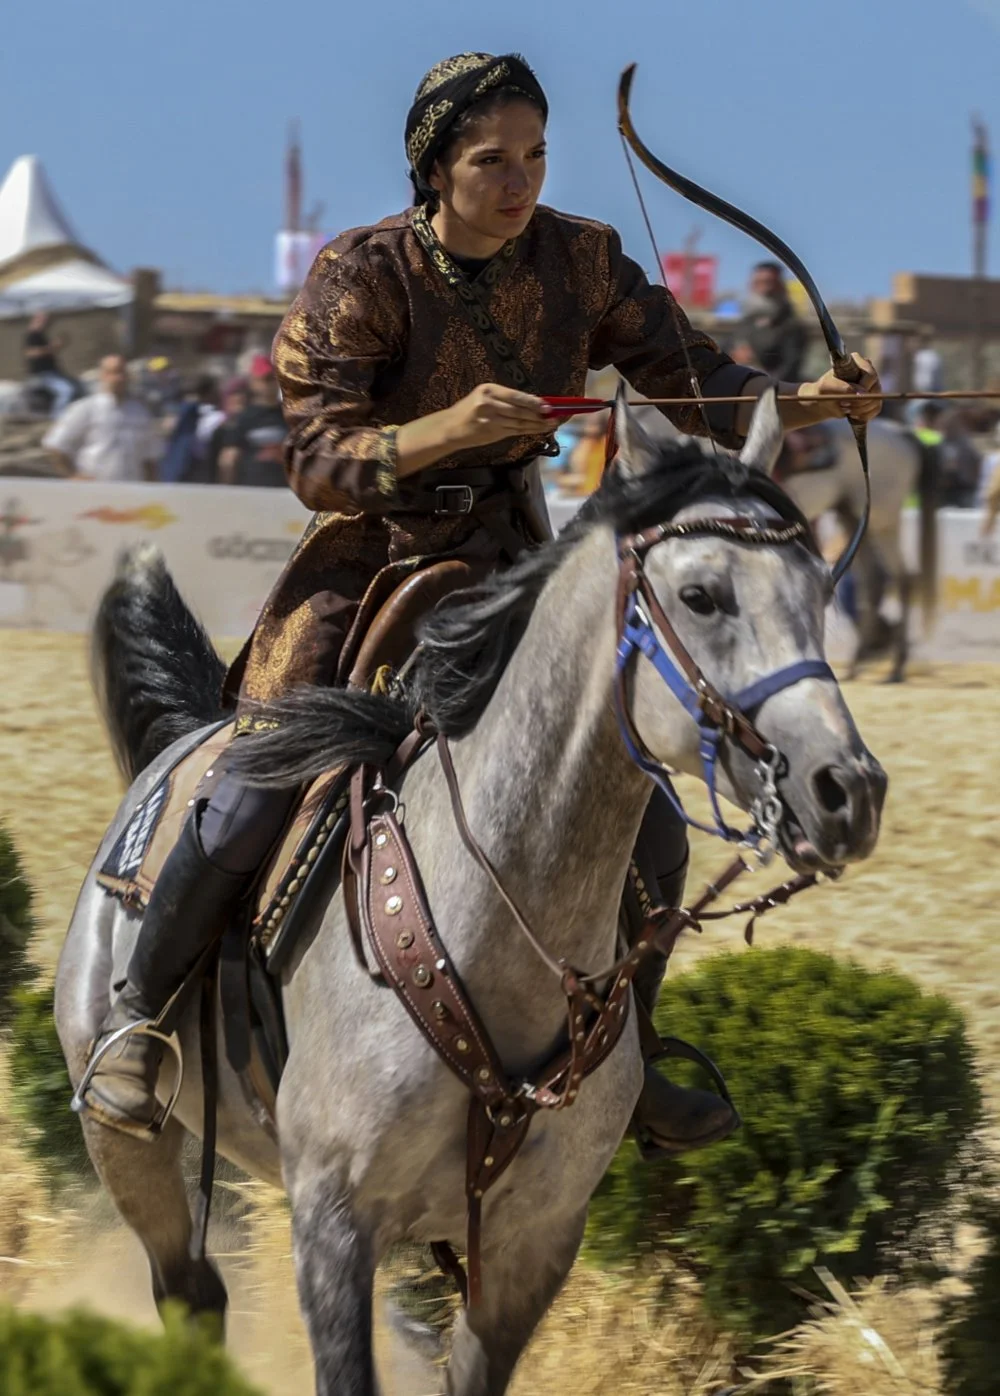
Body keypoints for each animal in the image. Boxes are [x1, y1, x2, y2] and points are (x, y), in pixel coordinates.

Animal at [56, 393, 882, 1396]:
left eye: (819, 590)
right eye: (701, 596)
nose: (847, 790)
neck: (484, 929)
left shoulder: (533, 1247)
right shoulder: (333, 1224)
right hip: (131, 1147)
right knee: (187, 1285)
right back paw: (130, 1060)